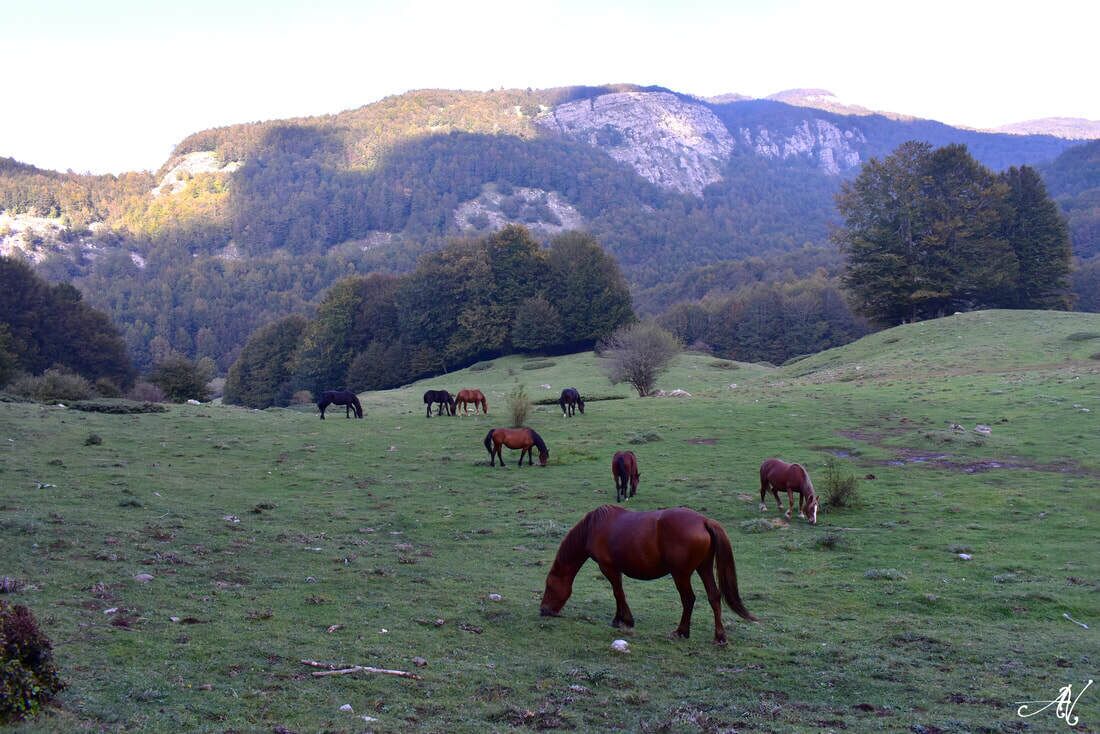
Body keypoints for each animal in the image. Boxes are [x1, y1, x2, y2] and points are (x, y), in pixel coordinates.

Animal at [539, 505, 757, 644]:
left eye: (549, 586)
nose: (543, 610)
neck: (593, 527)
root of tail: (704, 521)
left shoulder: (608, 567)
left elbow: (618, 592)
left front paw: (623, 619)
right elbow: (619, 592)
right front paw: (623, 618)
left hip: (681, 574)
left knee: (688, 599)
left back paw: (681, 631)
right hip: (703, 568)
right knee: (714, 596)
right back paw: (719, 637)